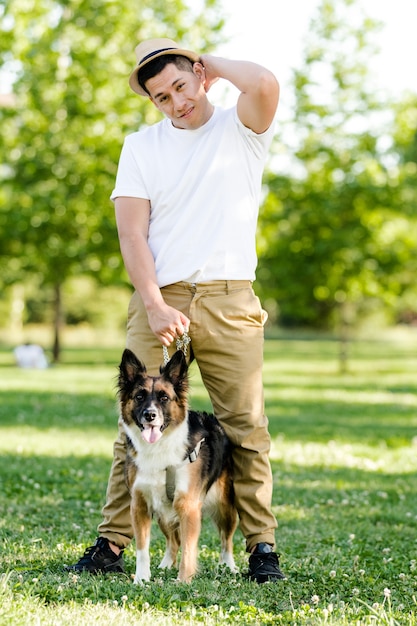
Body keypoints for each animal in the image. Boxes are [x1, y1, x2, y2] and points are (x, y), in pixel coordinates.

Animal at [117, 348, 237, 584]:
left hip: (225, 506)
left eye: (164, 397)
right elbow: (142, 548)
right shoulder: (140, 504)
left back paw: (228, 566)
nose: (150, 415)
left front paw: (183, 581)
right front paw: (141, 579)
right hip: (163, 513)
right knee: (173, 541)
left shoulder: (187, 506)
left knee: (226, 539)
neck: (159, 447)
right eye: (139, 396)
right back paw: (165, 564)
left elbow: (189, 549)